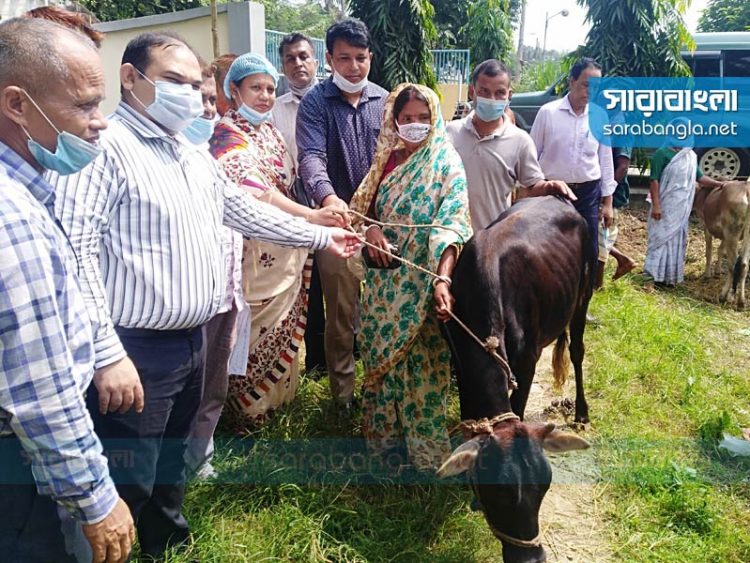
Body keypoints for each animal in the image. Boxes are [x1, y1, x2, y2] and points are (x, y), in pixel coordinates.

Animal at [438, 196, 596, 560]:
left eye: (544, 487)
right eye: (497, 493)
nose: (532, 558)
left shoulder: (526, 363)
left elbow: (520, 406)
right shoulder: (460, 361)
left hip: (583, 297)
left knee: (578, 351)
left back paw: (581, 412)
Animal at [692, 181, 750, 310]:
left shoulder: (706, 226)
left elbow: (709, 251)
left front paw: (707, 274)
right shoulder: (724, 235)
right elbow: (720, 250)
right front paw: (717, 271)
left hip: (732, 230)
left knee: (733, 265)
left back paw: (724, 296)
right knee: (744, 265)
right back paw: (741, 302)